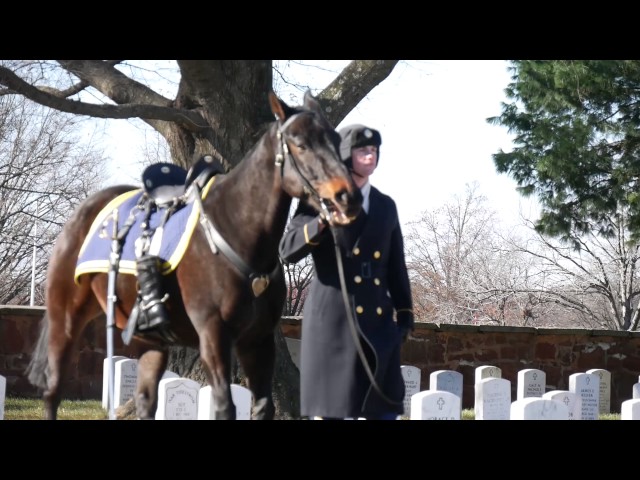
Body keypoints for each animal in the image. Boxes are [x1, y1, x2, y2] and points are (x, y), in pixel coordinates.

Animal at [25, 91, 362, 420]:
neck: (236, 231)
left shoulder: (258, 341)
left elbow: (263, 408)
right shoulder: (213, 335)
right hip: (65, 320)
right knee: (53, 392)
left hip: (151, 343)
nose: (348, 196)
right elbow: (225, 406)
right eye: (301, 144)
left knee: (146, 401)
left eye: (336, 140)